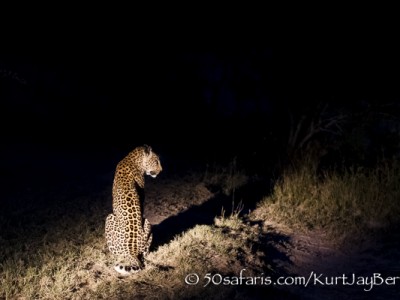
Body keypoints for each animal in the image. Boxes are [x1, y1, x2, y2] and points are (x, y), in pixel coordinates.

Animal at [106, 144, 164, 276]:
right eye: (156, 161)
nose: (161, 170)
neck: (133, 158)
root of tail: (131, 251)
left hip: (109, 217)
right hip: (147, 224)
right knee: (144, 254)